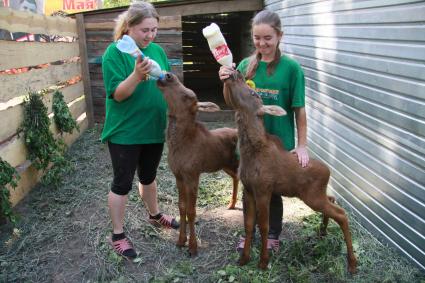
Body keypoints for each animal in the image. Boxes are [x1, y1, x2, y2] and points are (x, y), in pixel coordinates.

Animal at [224, 70, 356, 274]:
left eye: (254, 93)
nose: (236, 72)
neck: (251, 151)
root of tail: (329, 171)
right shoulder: (249, 189)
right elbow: (248, 225)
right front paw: (243, 258)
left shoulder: (264, 189)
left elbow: (264, 225)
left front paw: (263, 261)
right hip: (316, 195)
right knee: (333, 200)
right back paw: (323, 231)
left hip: (312, 196)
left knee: (341, 214)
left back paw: (352, 263)